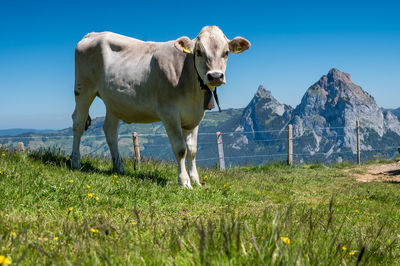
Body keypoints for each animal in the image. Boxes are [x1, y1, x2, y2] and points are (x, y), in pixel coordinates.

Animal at [70, 24, 248, 187]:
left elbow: (192, 150)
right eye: (199, 52)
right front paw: (184, 182)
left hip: (113, 101)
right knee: (78, 122)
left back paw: (119, 167)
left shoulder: (195, 116)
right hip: (83, 88)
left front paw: (196, 181)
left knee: (110, 131)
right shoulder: (169, 112)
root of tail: (93, 34)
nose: (215, 76)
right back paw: (76, 162)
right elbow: (181, 149)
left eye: (226, 53)